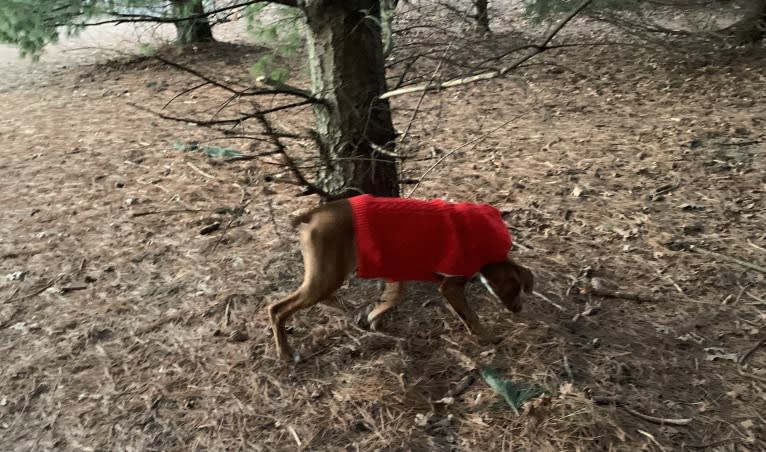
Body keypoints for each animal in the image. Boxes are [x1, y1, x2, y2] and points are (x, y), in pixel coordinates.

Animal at [270, 194, 536, 360]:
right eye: (514, 286)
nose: (519, 309)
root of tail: (312, 214)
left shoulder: (397, 273)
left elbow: (391, 299)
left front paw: (375, 320)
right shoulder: (450, 286)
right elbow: (471, 317)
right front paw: (488, 337)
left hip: (326, 274)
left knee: (322, 298)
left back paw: (344, 310)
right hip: (326, 276)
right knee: (277, 309)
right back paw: (285, 353)